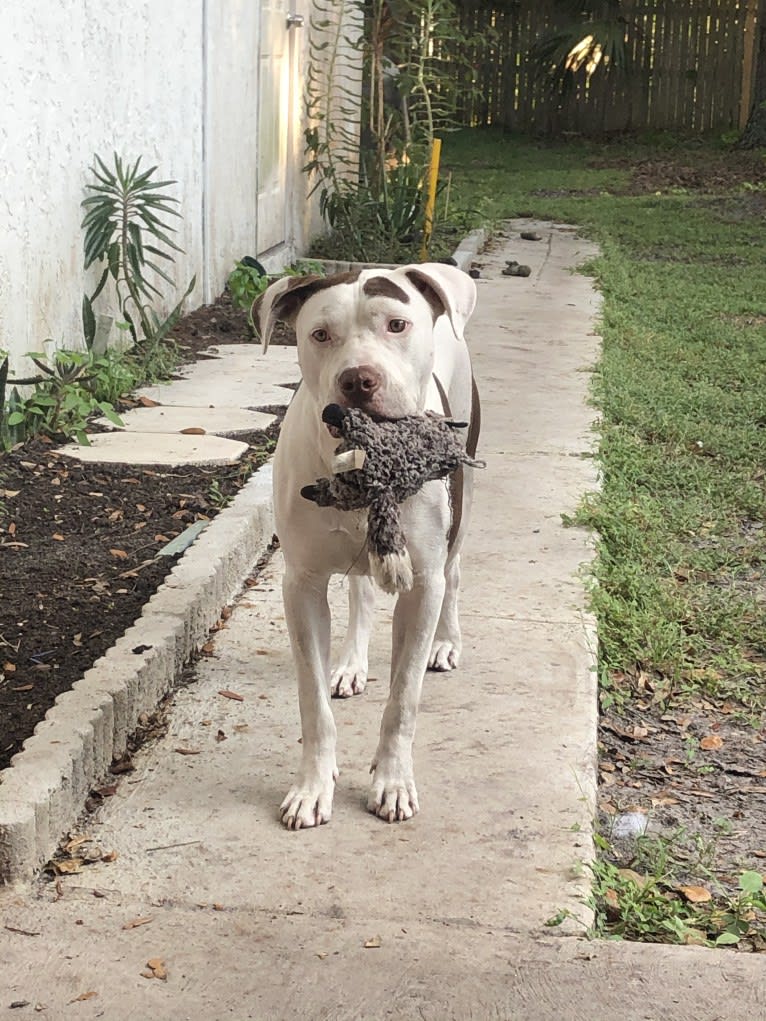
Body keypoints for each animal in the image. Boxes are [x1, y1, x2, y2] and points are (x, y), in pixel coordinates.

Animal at [261, 265, 482, 829]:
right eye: (320, 334)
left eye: (397, 324)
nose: (358, 379)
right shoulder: (301, 585)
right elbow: (313, 702)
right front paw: (312, 786)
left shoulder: (421, 585)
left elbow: (403, 698)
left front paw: (393, 781)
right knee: (360, 591)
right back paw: (351, 663)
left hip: (463, 507)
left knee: (455, 575)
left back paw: (447, 642)